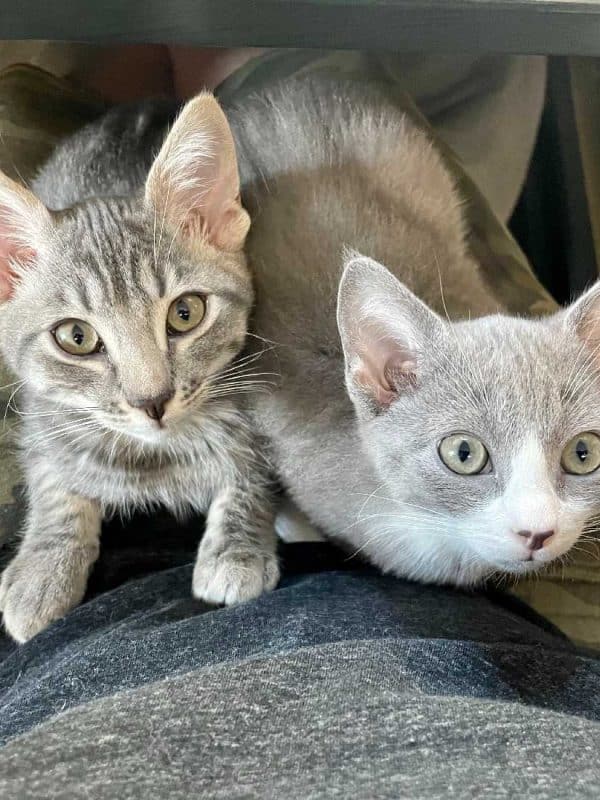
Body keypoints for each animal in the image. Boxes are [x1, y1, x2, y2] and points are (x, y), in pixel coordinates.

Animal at [0, 93, 279, 643]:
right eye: (77, 337)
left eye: (185, 312)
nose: (152, 401)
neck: (152, 458)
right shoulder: (39, 417)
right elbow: (52, 481)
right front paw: (43, 568)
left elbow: (253, 469)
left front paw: (237, 548)